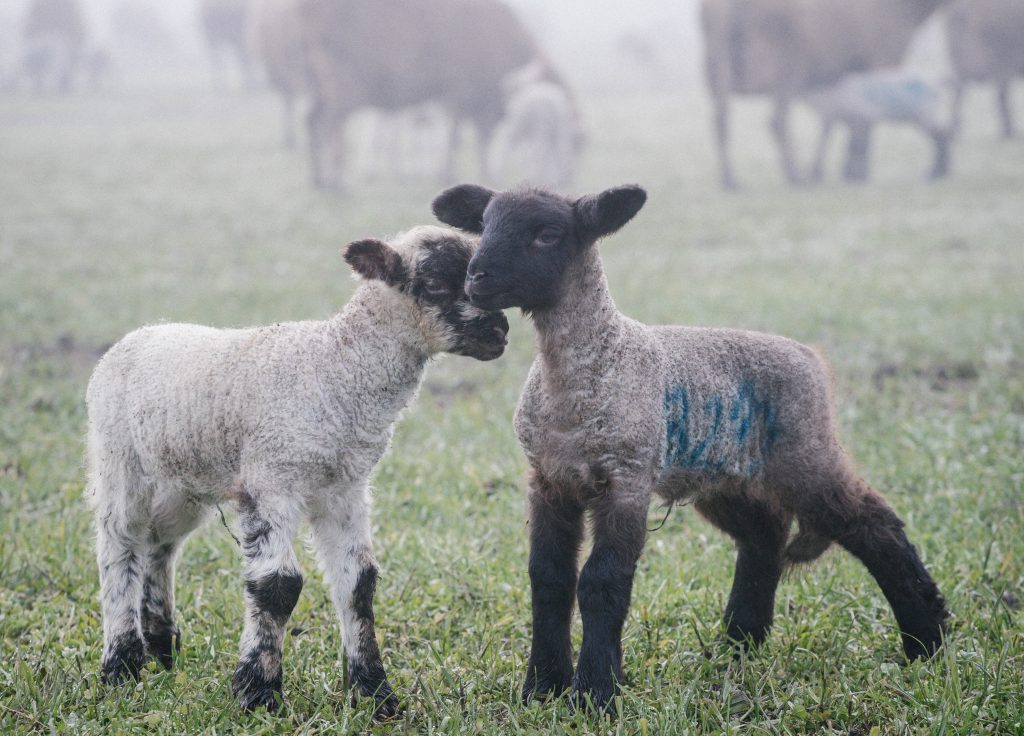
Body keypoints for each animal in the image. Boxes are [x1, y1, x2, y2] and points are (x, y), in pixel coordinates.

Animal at [86, 226, 509, 716]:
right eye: (436, 284)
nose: (501, 331)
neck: (336, 369)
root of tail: (140, 333)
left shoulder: (346, 487)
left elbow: (359, 583)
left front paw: (375, 693)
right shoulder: (272, 478)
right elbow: (278, 586)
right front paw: (258, 692)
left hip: (183, 479)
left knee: (160, 544)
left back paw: (161, 649)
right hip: (119, 459)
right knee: (120, 544)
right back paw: (122, 665)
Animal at [432, 183, 949, 710]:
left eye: (547, 235)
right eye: (484, 226)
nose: (476, 279)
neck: (586, 368)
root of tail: (810, 356)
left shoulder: (627, 477)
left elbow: (602, 581)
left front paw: (595, 694)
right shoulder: (549, 479)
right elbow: (549, 578)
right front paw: (541, 689)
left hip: (804, 451)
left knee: (873, 523)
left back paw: (926, 638)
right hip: (726, 478)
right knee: (764, 536)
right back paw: (739, 644)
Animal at [803, 69, 952, 182]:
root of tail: (936, 82)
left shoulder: (856, 119)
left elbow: (854, 145)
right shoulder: (845, 120)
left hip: (924, 117)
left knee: (941, 135)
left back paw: (934, 172)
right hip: (920, 119)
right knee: (940, 135)